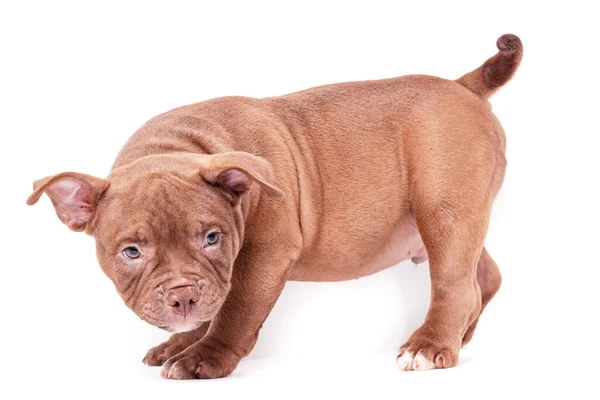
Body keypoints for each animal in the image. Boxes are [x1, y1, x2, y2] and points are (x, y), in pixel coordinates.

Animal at [27, 34, 520, 378]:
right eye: (131, 251)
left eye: (212, 238)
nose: (183, 295)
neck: (179, 147)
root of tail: (462, 87)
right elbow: (214, 305)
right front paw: (181, 343)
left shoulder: (263, 253)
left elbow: (236, 307)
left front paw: (202, 357)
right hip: (456, 220)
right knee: (483, 276)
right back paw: (459, 335)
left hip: (444, 212)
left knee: (454, 282)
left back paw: (429, 345)